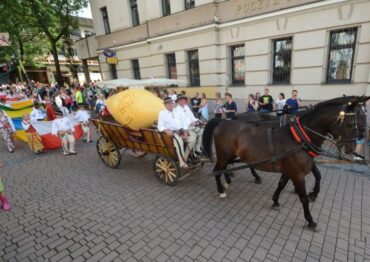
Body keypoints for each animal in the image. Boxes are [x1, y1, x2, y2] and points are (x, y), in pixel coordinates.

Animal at [204, 96, 368, 229]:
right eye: (350, 122)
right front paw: (310, 220)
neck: (300, 138)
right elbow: (303, 198)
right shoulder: (297, 174)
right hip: (224, 155)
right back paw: (222, 190)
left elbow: (282, 184)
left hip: (231, 155)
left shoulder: (290, 171)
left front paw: (276, 201)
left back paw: (229, 179)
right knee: (217, 170)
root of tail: (223, 121)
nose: (351, 148)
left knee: (225, 167)